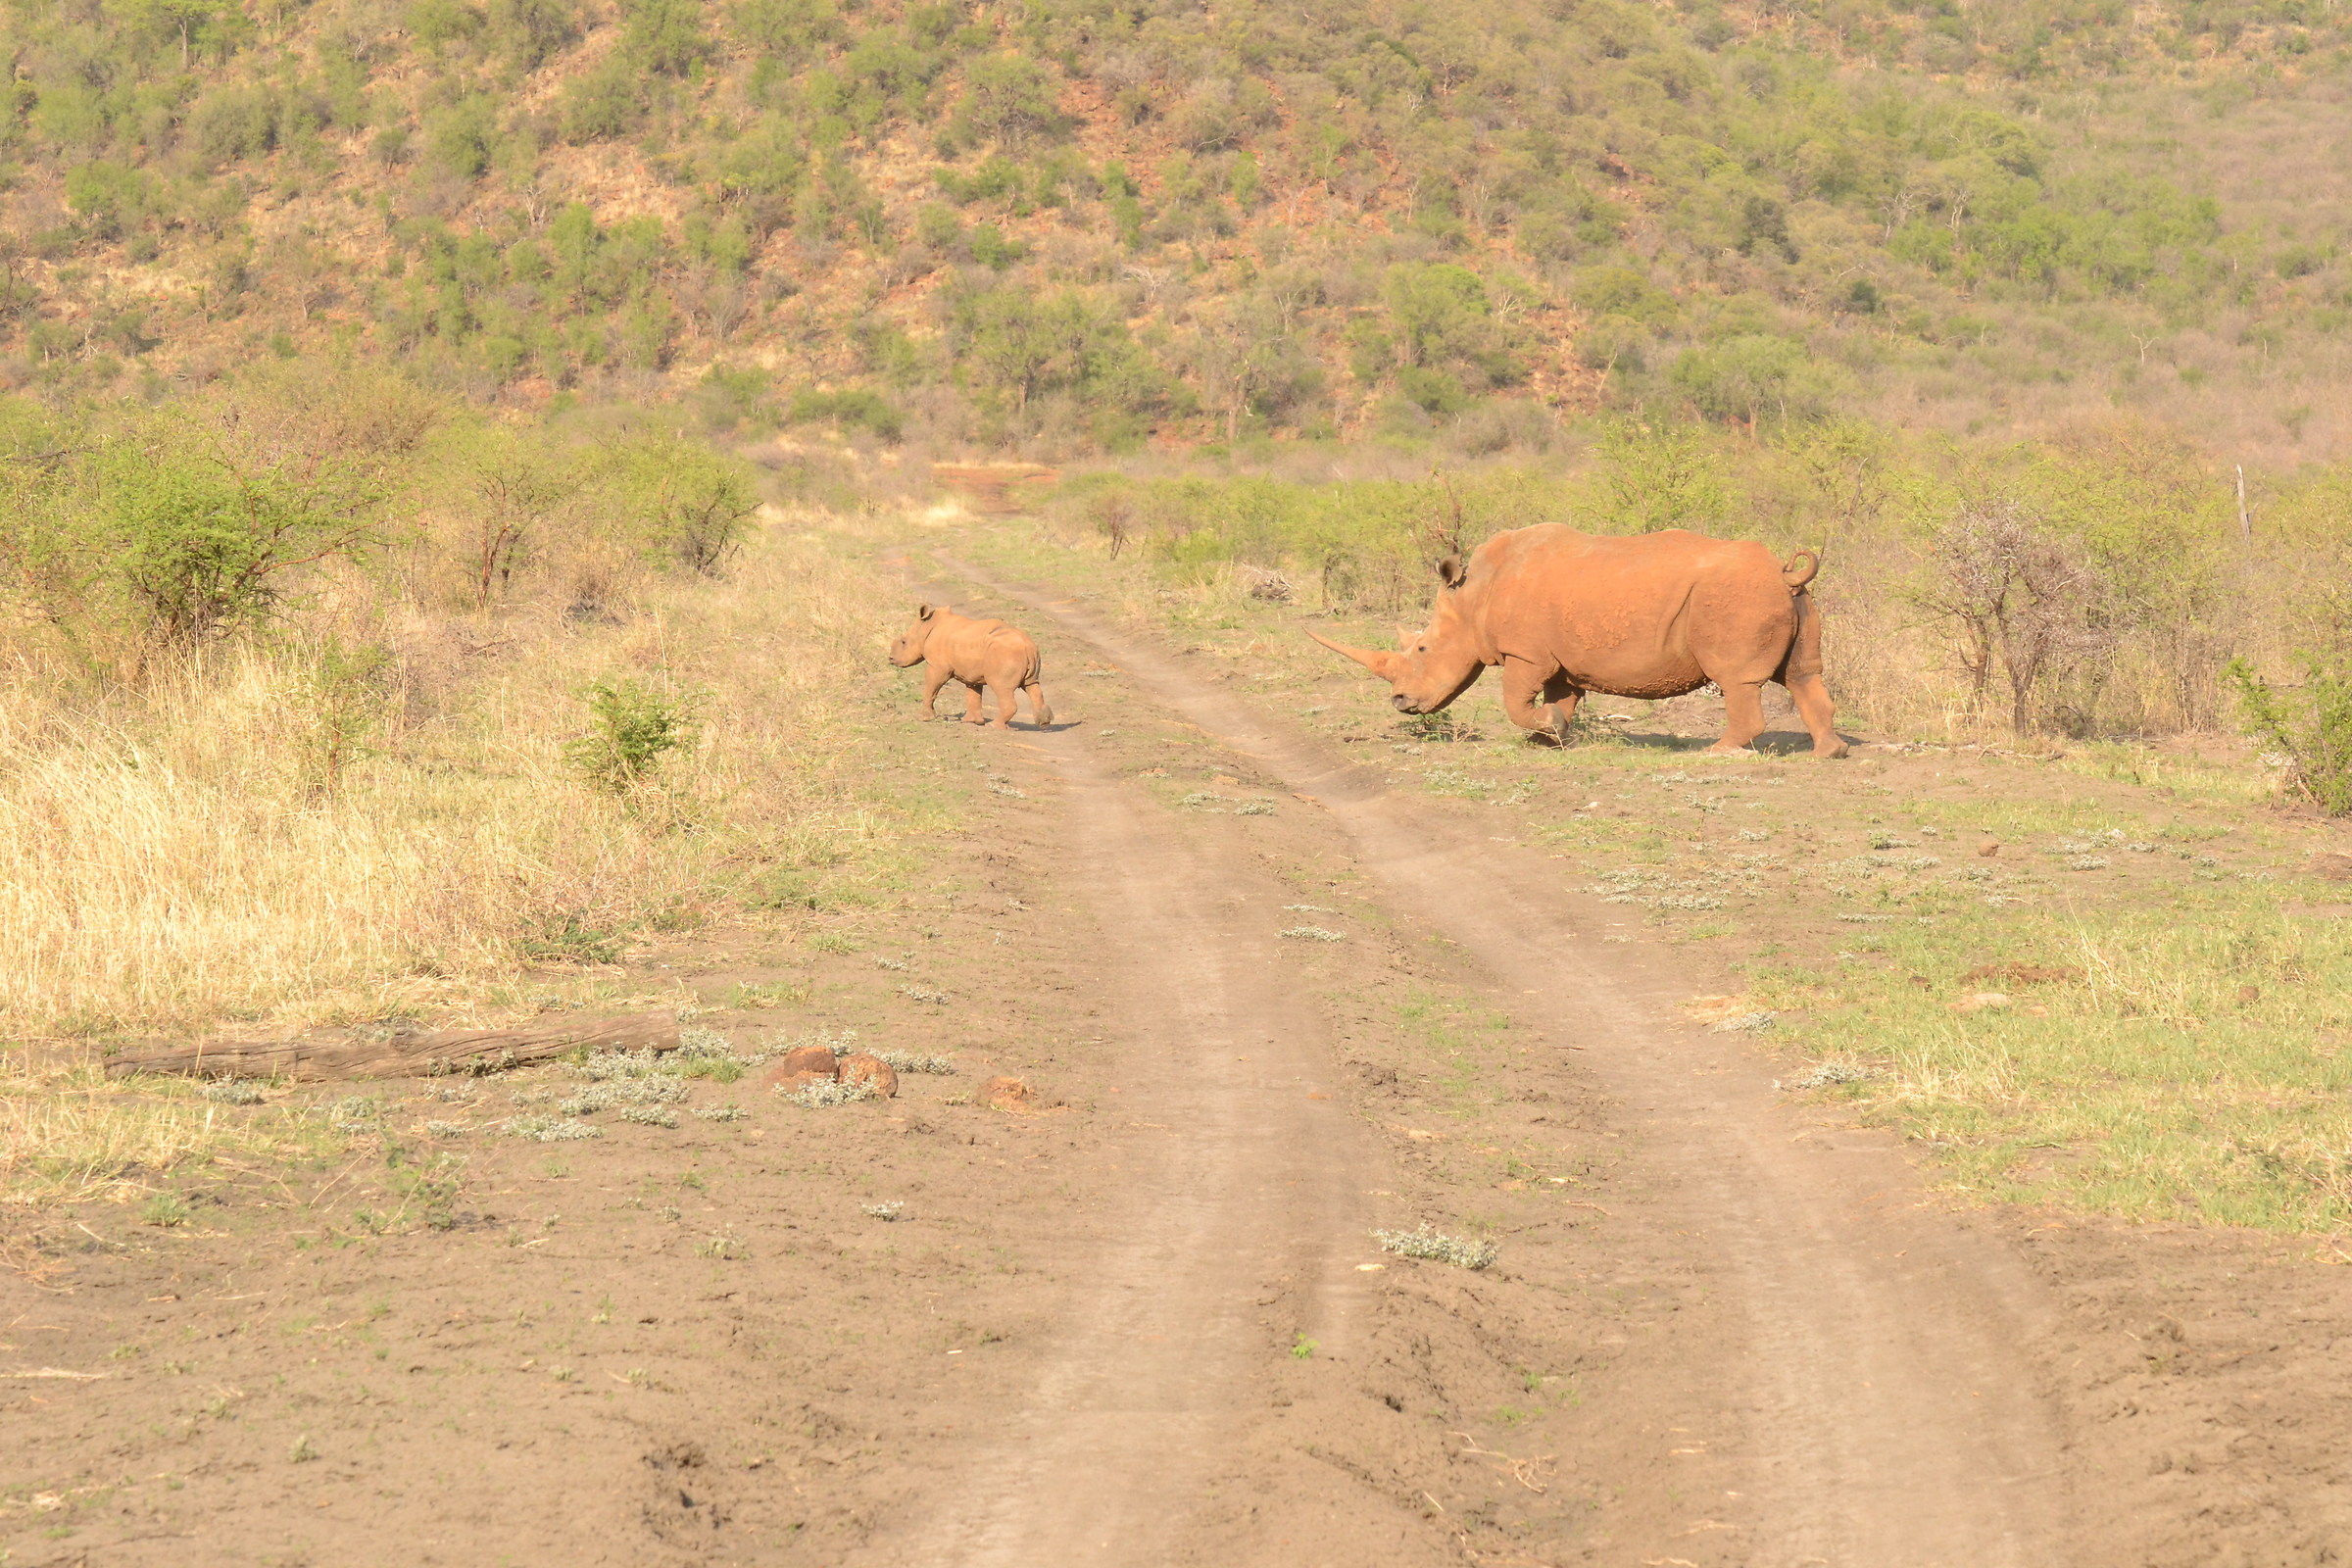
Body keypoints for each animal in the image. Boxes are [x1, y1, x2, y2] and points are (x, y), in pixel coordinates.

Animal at [889, 603, 1055, 729]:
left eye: (903, 642)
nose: (890, 659)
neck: (927, 628)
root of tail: (1028, 647)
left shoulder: (938, 667)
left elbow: (931, 689)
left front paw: (924, 718)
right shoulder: (971, 671)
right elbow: (973, 694)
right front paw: (971, 721)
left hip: (1005, 654)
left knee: (1002, 688)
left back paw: (995, 726)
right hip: (1022, 655)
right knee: (1032, 685)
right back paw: (1044, 723)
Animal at [1309, 525, 1846, 758]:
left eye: (1421, 651)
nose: (1399, 702)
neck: (1473, 594)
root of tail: (1785, 574)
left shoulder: (1526, 653)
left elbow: (1515, 700)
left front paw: (1545, 729)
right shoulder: (1558, 657)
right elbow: (1560, 697)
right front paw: (1551, 736)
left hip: (1735, 599)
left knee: (1738, 681)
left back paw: (1719, 752)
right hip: (1793, 600)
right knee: (1803, 674)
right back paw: (1829, 753)